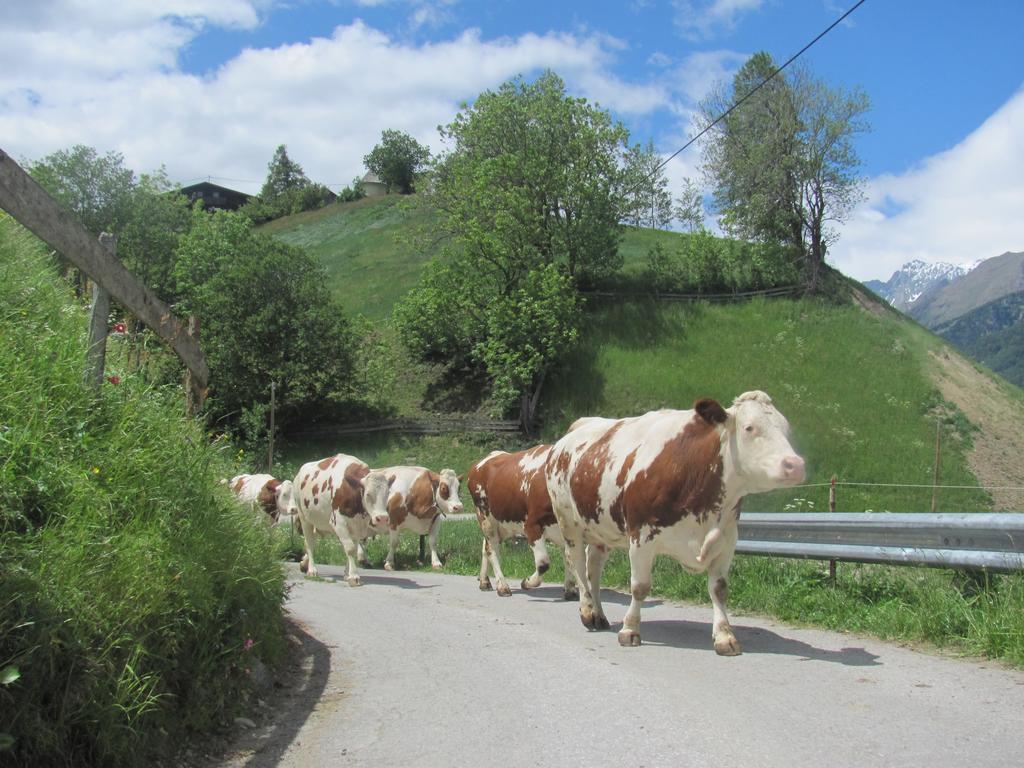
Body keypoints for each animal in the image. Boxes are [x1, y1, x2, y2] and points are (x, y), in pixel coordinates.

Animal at [296, 454, 395, 585]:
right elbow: (350, 548)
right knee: (309, 543)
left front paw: (347, 574)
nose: (382, 518)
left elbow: (354, 547)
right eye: (368, 494)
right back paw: (312, 570)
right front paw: (353, 576)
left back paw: (304, 564)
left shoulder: (358, 525)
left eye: (387, 493)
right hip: (304, 518)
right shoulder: (339, 523)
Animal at [468, 444, 581, 602]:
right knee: (492, 549)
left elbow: (570, 559)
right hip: (485, 518)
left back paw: (484, 581)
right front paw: (526, 582)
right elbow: (543, 563)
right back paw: (502, 586)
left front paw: (570, 590)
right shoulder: (531, 525)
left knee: (485, 546)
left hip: (502, 523)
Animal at [548, 391, 802, 655]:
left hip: (600, 529)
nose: (795, 465)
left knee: (593, 568)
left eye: (786, 428)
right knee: (577, 563)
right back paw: (587, 612)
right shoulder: (641, 536)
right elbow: (640, 586)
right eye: (749, 427)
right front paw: (630, 630)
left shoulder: (726, 539)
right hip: (568, 521)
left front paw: (724, 636)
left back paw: (598, 615)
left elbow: (719, 589)